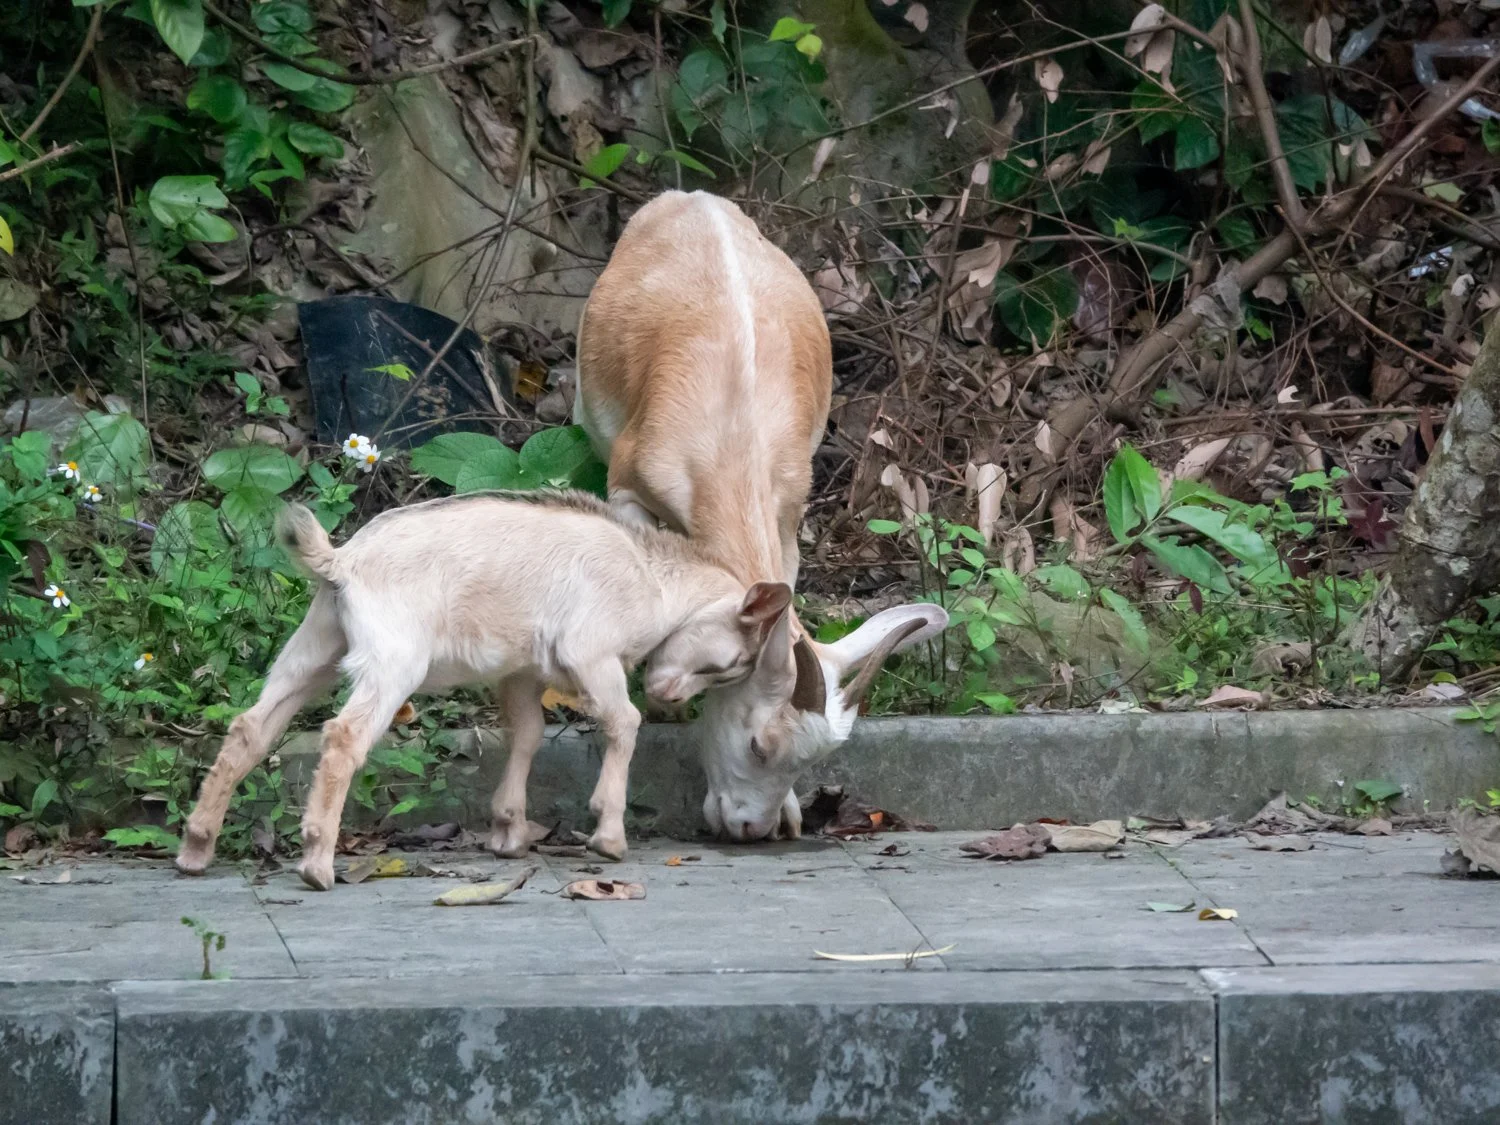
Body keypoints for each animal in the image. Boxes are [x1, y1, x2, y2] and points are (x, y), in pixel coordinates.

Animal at [173, 491, 792, 891]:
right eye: (730, 663)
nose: (670, 695)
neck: (650, 576)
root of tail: (342, 560)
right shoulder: (590, 652)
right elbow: (623, 722)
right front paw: (608, 834)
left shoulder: (522, 671)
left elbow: (528, 732)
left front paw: (508, 832)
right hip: (393, 659)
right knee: (344, 735)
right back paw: (317, 864)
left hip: (316, 644)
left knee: (252, 726)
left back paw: (196, 846)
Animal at [575, 190, 948, 843]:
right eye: (758, 746)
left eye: (809, 762)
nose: (752, 827)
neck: (732, 429)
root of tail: (690, 199)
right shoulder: (626, 492)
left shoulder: (786, 517)